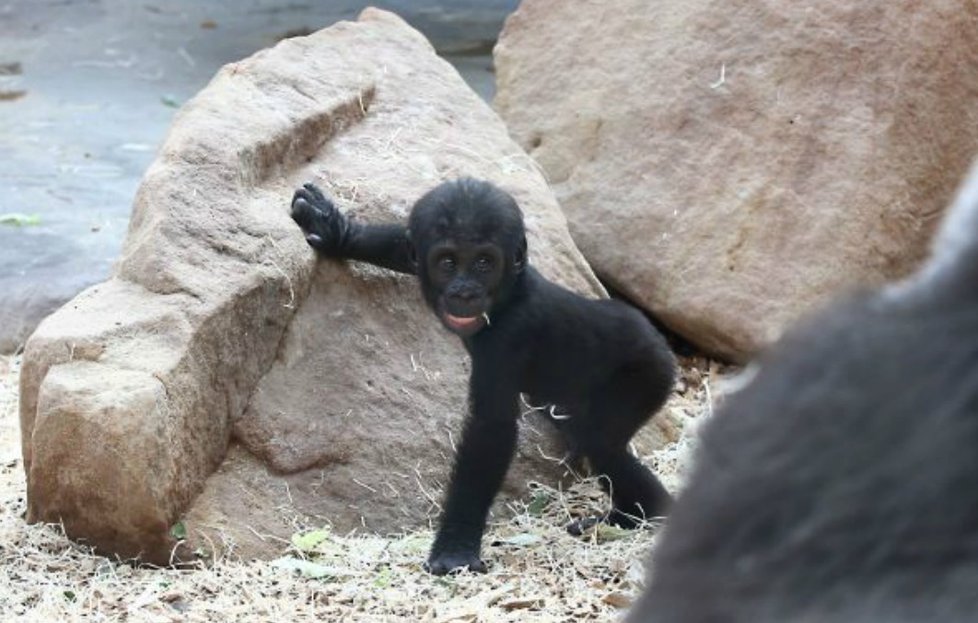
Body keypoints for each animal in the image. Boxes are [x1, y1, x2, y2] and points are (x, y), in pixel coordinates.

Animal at [286, 179, 676, 576]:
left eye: (484, 264)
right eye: (447, 263)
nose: (465, 291)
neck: (507, 296)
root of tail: (657, 339)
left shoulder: (511, 335)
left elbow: (490, 432)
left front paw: (455, 546)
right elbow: (402, 246)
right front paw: (336, 229)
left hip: (647, 374)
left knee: (601, 443)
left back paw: (643, 515)